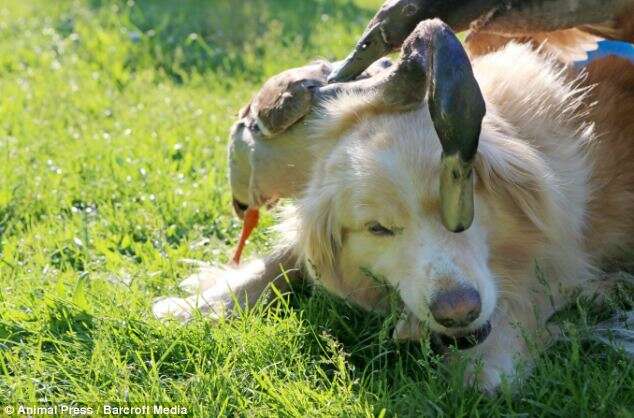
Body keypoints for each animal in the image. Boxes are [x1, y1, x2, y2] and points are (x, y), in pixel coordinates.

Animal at [154, 19, 632, 392]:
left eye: (465, 213)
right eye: (377, 229)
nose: (457, 311)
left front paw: (495, 355)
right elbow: (284, 258)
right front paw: (201, 305)